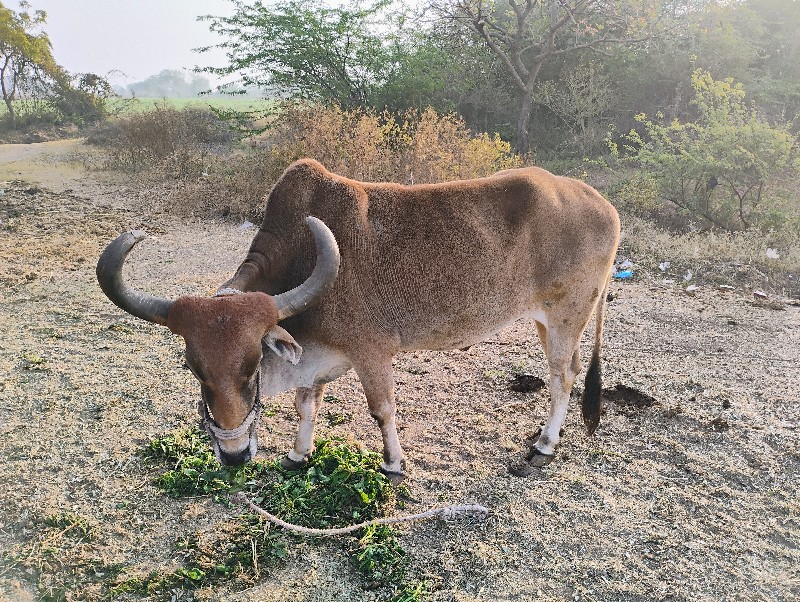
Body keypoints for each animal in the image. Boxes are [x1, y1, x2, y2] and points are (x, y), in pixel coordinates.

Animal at [97, 158, 620, 478]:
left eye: (252, 365)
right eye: (195, 368)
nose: (234, 454)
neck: (305, 257)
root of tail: (603, 203)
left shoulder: (372, 353)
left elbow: (381, 410)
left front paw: (394, 464)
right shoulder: (315, 357)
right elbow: (305, 405)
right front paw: (297, 453)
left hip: (568, 316)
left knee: (563, 377)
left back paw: (544, 444)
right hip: (544, 321)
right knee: (570, 372)